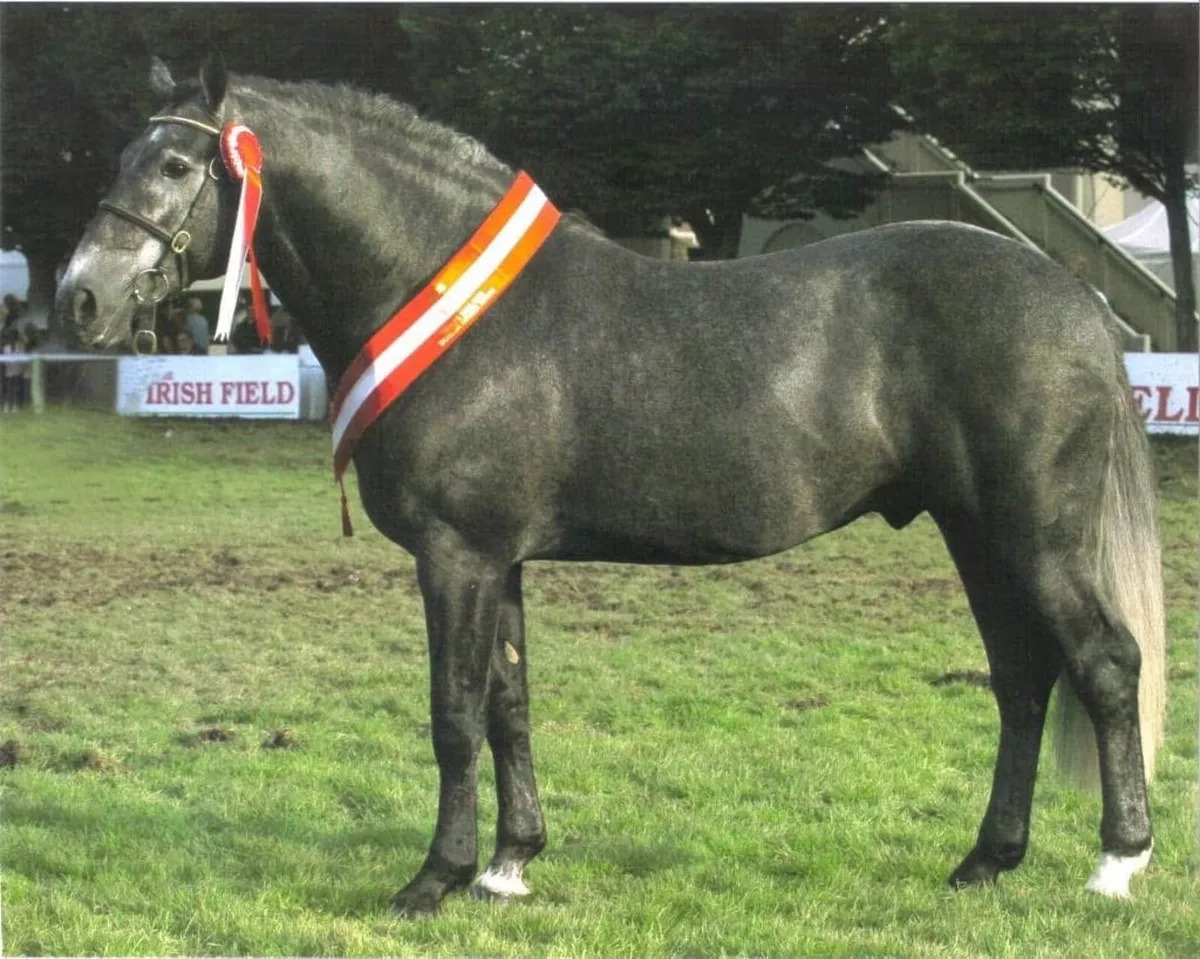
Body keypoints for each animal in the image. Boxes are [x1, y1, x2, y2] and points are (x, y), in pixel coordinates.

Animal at [56, 56, 1166, 914]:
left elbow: (452, 714)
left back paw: (1116, 863)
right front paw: (508, 865)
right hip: (973, 530)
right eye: (123, 159)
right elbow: (508, 702)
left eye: (177, 163)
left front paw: (433, 878)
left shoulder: (456, 554)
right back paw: (986, 860)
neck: (450, 302)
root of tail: (1075, 295)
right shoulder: (497, 558)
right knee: (1022, 679)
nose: (83, 297)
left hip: (1035, 532)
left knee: (1106, 663)